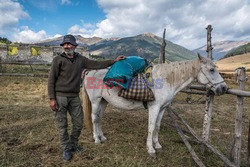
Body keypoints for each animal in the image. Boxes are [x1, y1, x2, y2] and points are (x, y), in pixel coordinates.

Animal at [82, 54, 227, 157]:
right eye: (211, 70)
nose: (224, 88)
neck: (165, 80)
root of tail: (90, 72)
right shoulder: (154, 107)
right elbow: (151, 127)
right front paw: (150, 149)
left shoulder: (162, 108)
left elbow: (157, 126)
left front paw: (157, 145)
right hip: (95, 101)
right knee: (94, 119)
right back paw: (96, 139)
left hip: (103, 101)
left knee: (99, 119)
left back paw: (102, 137)